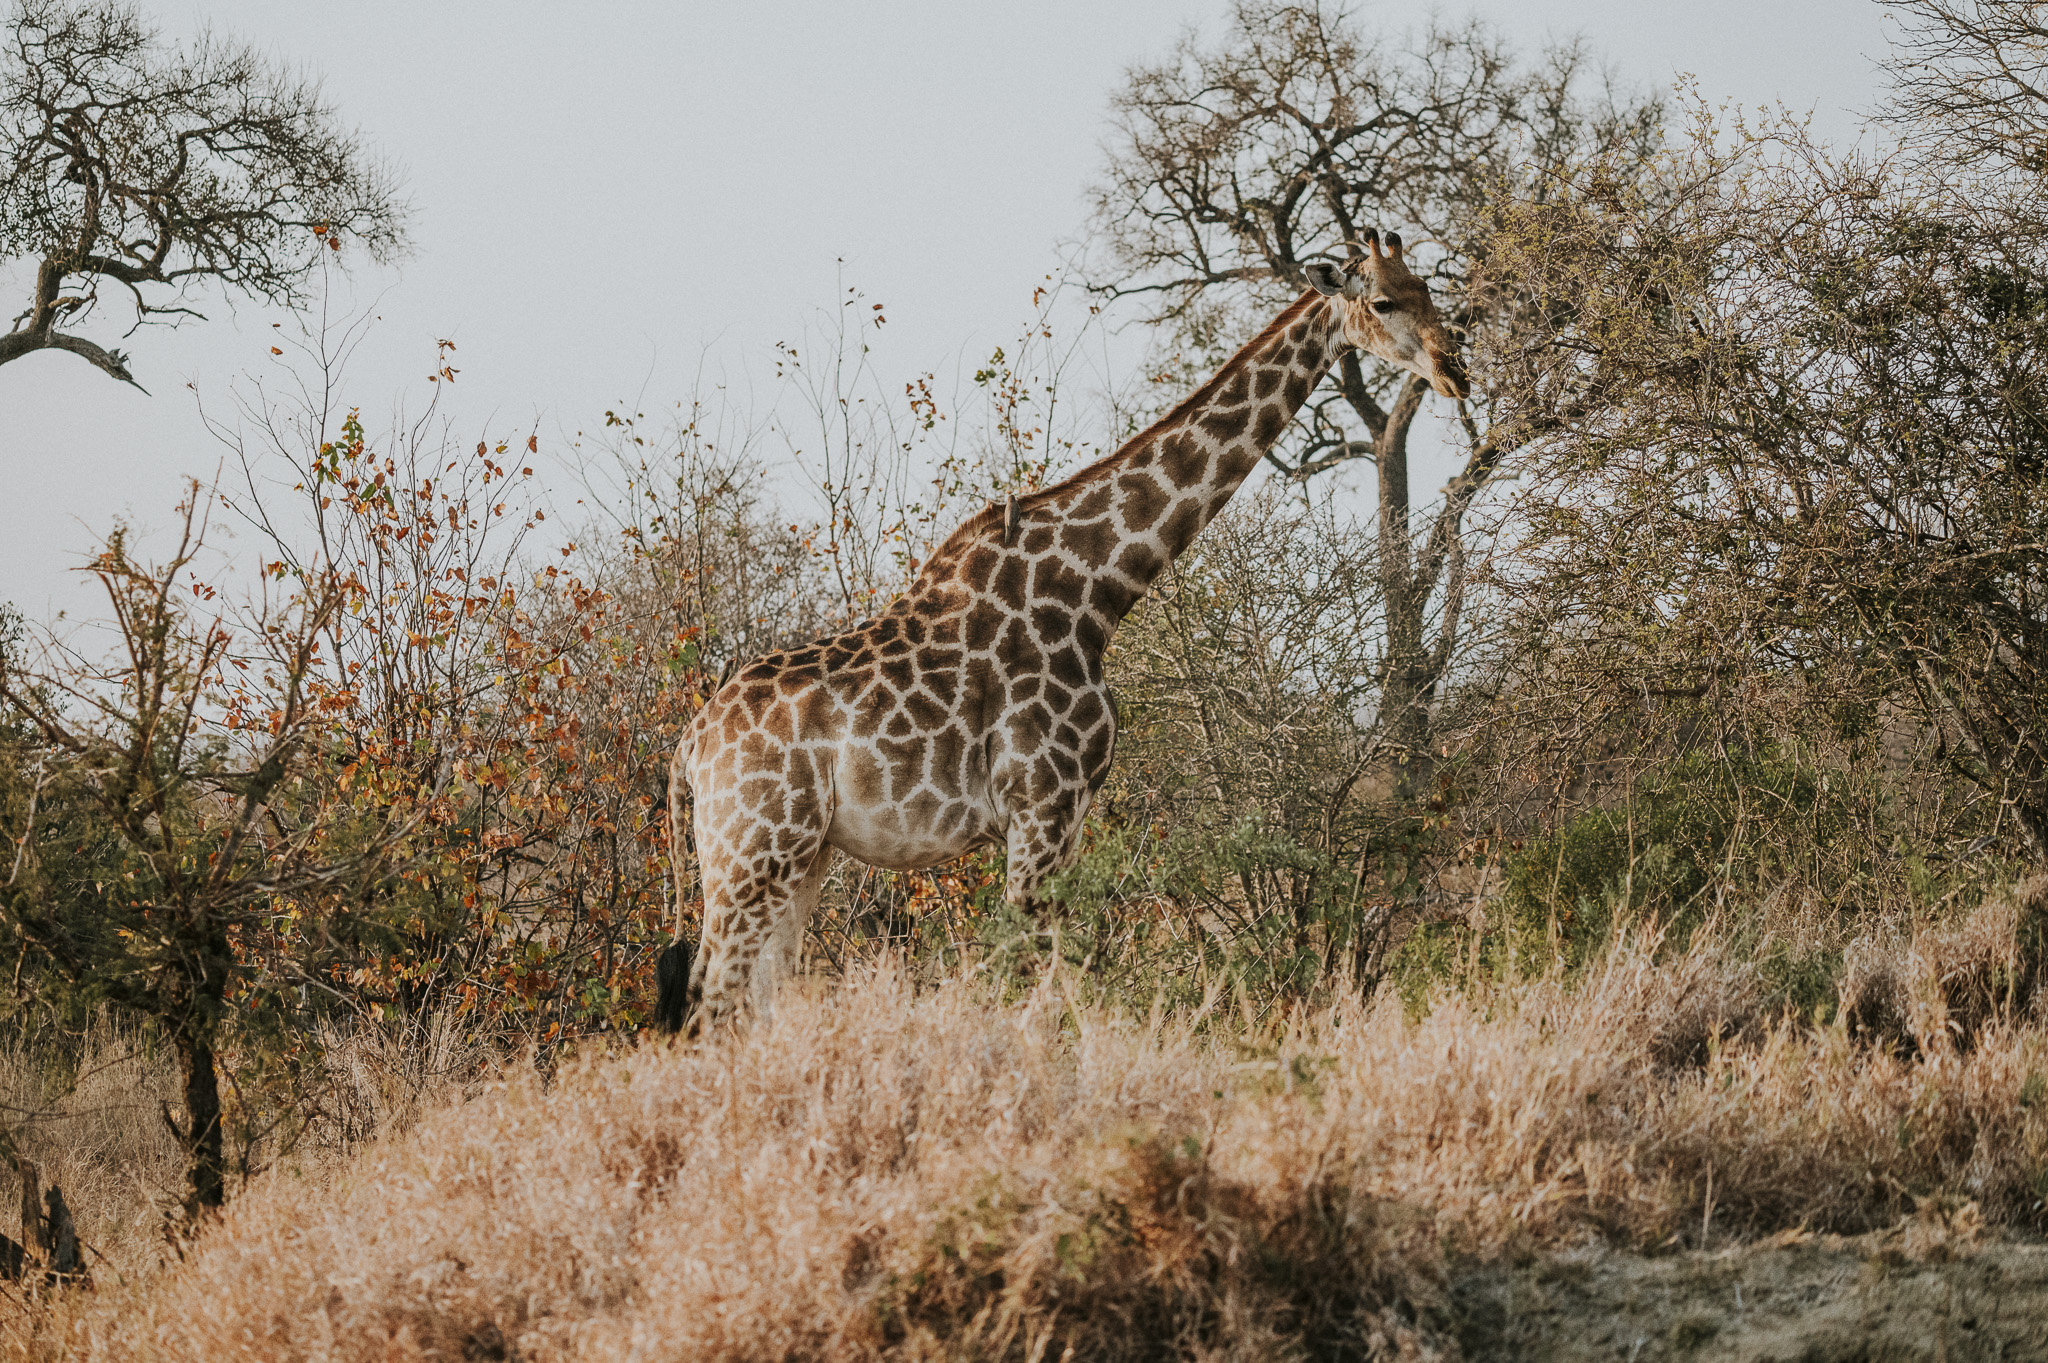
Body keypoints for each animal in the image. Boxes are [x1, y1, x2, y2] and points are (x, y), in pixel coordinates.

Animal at [658, 230, 1468, 1034]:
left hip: (801, 853)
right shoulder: (1040, 807)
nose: (1454, 366)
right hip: (753, 849)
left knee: (757, 994)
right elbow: (1039, 982)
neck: (1095, 591)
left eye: (1428, 287)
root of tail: (691, 745)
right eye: (1383, 301)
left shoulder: (1065, 817)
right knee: (709, 994)